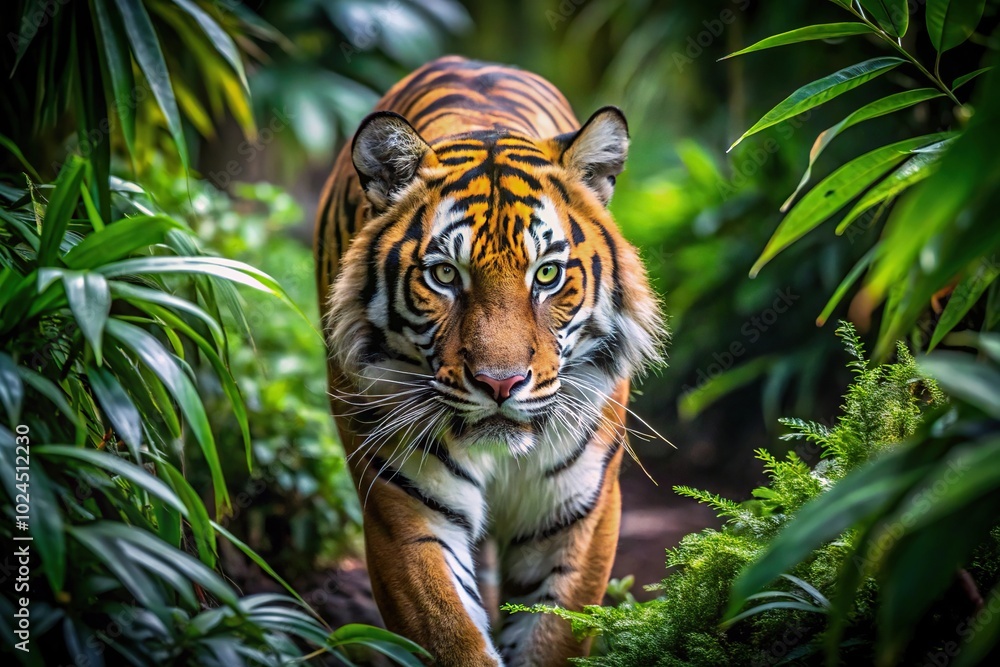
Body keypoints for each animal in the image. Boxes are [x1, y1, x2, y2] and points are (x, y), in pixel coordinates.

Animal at [315, 55, 665, 666]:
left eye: (546, 275)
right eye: (444, 275)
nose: (500, 384)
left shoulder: (577, 514)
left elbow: (551, 635)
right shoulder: (406, 510)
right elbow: (449, 632)